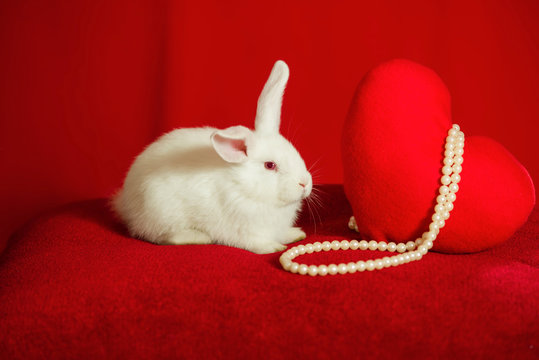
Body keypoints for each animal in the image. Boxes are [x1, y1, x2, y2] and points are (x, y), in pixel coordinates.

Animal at [114, 60, 314, 255]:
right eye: (270, 165)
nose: (304, 183)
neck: (243, 184)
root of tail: (125, 202)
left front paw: (294, 234)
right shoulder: (240, 229)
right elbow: (253, 242)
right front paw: (273, 247)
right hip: (158, 212)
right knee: (159, 236)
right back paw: (196, 237)